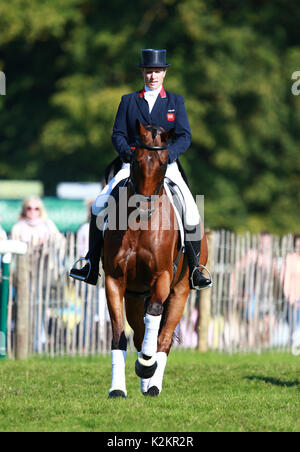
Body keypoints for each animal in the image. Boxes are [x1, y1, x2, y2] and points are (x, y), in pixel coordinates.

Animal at [102, 121, 207, 400]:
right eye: (136, 161)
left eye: (162, 163)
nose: (143, 207)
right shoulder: (115, 280)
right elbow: (119, 335)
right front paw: (117, 388)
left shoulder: (163, 277)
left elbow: (155, 313)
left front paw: (147, 367)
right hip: (134, 296)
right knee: (139, 335)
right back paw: (144, 379)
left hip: (180, 292)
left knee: (164, 338)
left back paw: (153, 383)